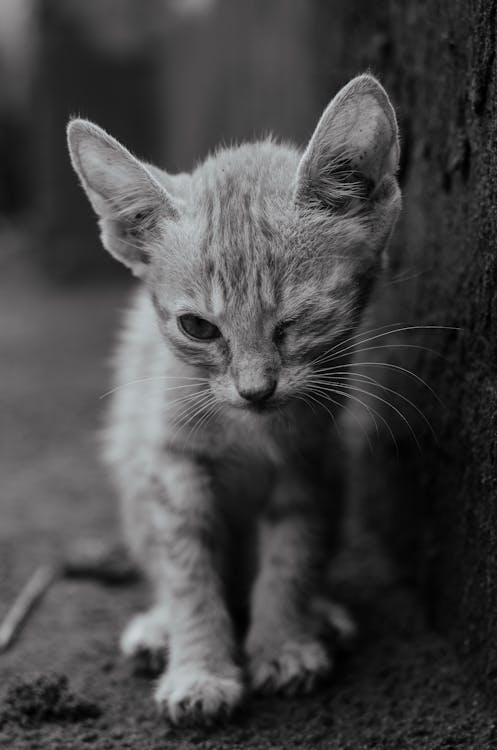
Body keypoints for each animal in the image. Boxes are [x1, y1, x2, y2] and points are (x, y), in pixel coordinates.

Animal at [67, 73, 400, 724]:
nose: (255, 389)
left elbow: (291, 556)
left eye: (300, 319)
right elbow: (188, 570)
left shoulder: (308, 460)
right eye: (198, 328)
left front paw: (283, 643)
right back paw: (159, 629)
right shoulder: (171, 464)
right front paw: (200, 669)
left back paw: (318, 616)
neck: (250, 433)